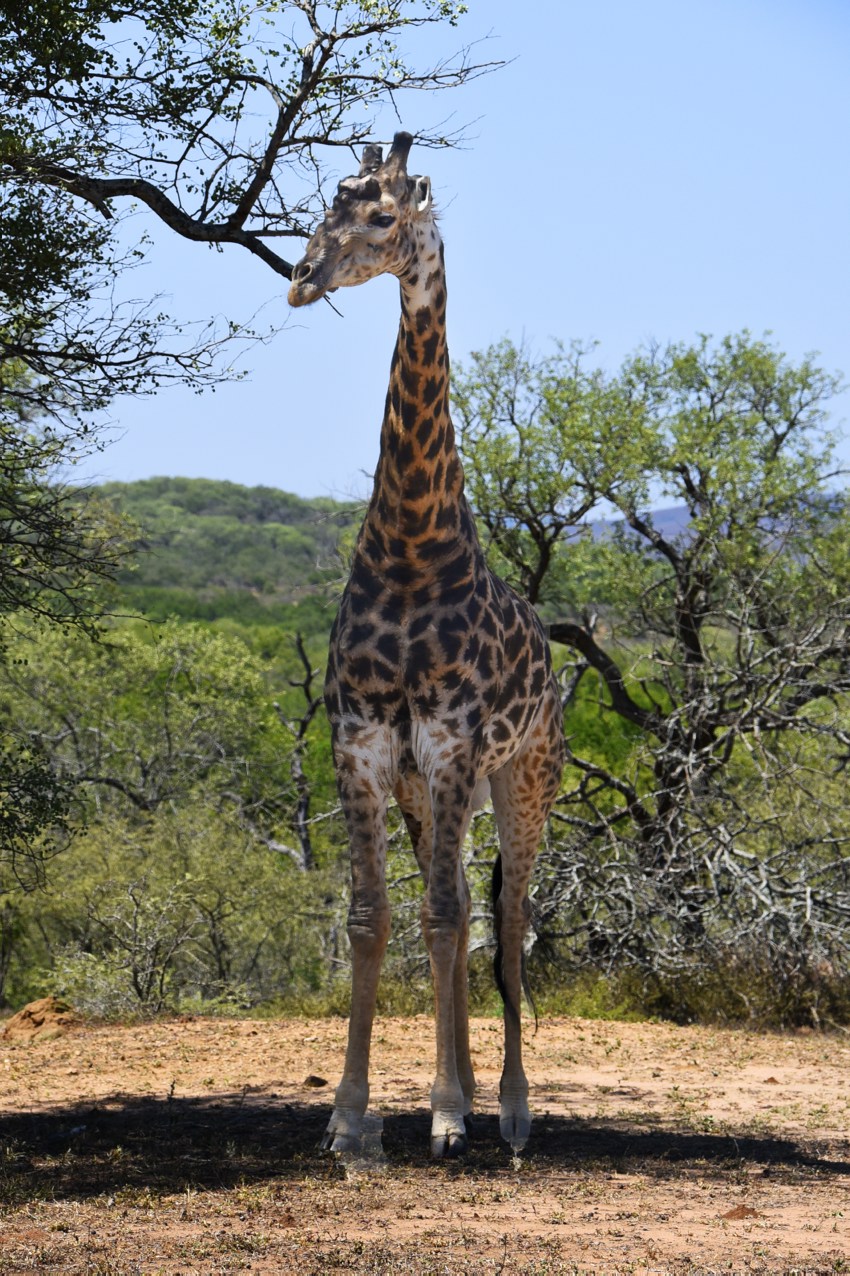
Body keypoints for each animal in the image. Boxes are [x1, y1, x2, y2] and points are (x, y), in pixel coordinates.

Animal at [288, 133, 564, 1158]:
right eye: (321, 212)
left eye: (382, 217)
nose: (300, 278)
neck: (411, 547)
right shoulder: (365, 744)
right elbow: (374, 920)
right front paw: (351, 1117)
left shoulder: (449, 741)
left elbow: (446, 917)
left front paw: (446, 1115)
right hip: (432, 790)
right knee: (464, 911)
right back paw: (474, 1092)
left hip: (523, 777)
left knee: (506, 916)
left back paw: (511, 1111)